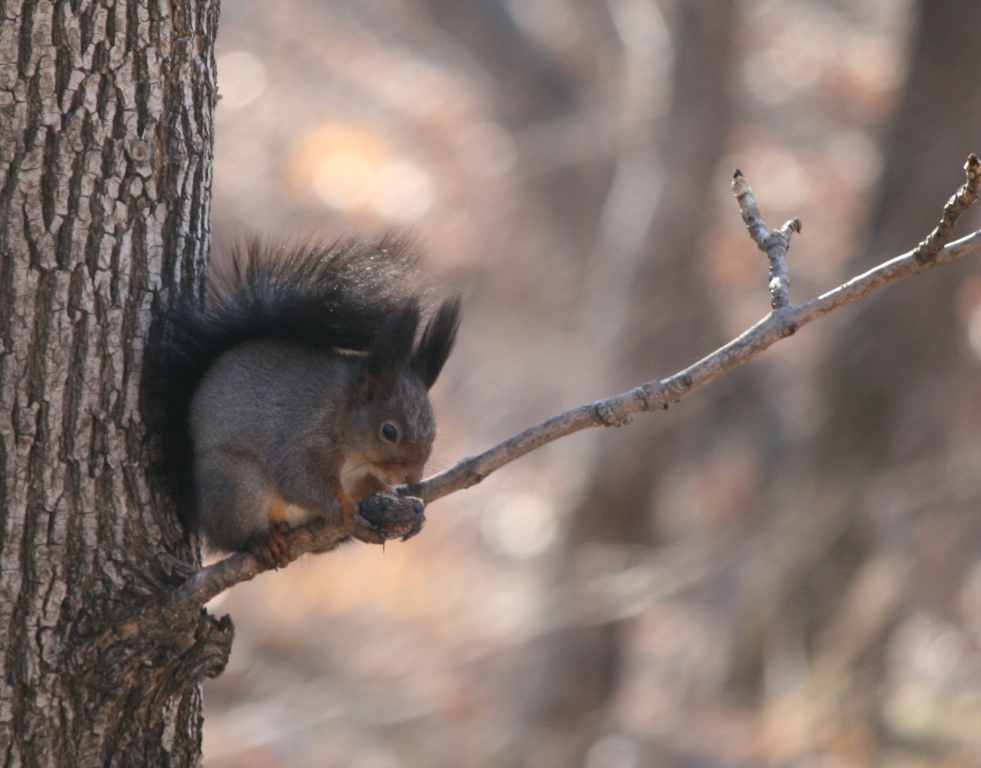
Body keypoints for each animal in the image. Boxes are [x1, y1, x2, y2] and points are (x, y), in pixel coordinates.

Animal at [142, 240, 460, 568]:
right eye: (389, 432)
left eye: (433, 430)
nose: (412, 478)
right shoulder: (300, 439)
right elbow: (300, 482)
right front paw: (347, 511)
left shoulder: (360, 474)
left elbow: (367, 487)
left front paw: (402, 503)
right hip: (237, 483)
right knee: (234, 538)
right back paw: (261, 540)